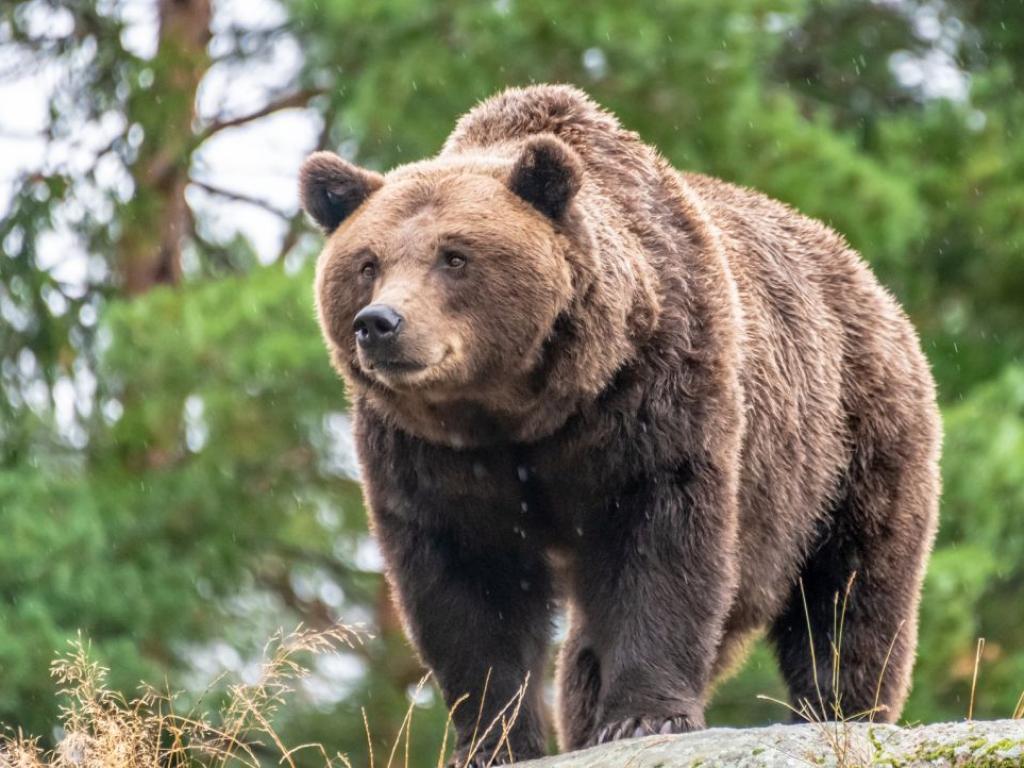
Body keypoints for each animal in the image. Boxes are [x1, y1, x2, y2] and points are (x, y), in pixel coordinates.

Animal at [294, 83, 937, 765]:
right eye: (368, 263)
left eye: (455, 256)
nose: (380, 323)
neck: (521, 410)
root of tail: (861, 272)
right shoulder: (429, 455)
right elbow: (467, 584)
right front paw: (494, 740)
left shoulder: (656, 398)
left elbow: (661, 545)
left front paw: (643, 717)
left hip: (848, 441)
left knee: (851, 590)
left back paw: (841, 710)